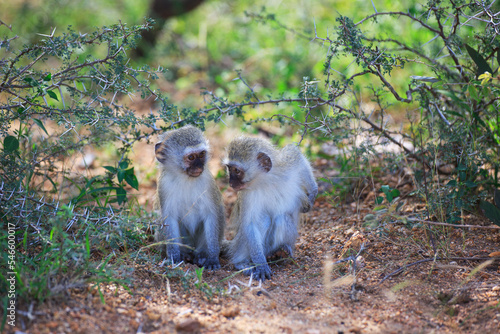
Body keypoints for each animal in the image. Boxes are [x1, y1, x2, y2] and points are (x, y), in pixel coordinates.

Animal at [155, 124, 226, 270]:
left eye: (202, 154)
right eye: (191, 157)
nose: (199, 166)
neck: (185, 178)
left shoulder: (208, 183)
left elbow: (211, 215)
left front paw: (212, 258)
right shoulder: (164, 186)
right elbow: (169, 218)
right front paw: (174, 257)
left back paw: (201, 254)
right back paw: (185, 253)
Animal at [224, 137, 316, 280]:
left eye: (237, 171)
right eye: (229, 169)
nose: (231, 183)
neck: (268, 181)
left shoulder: (288, 164)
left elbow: (297, 155)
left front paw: (313, 192)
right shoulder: (247, 195)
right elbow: (249, 225)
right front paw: (260, 264)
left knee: (282, 218)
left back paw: (280, 251)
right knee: (263, 220)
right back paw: (242, 263)